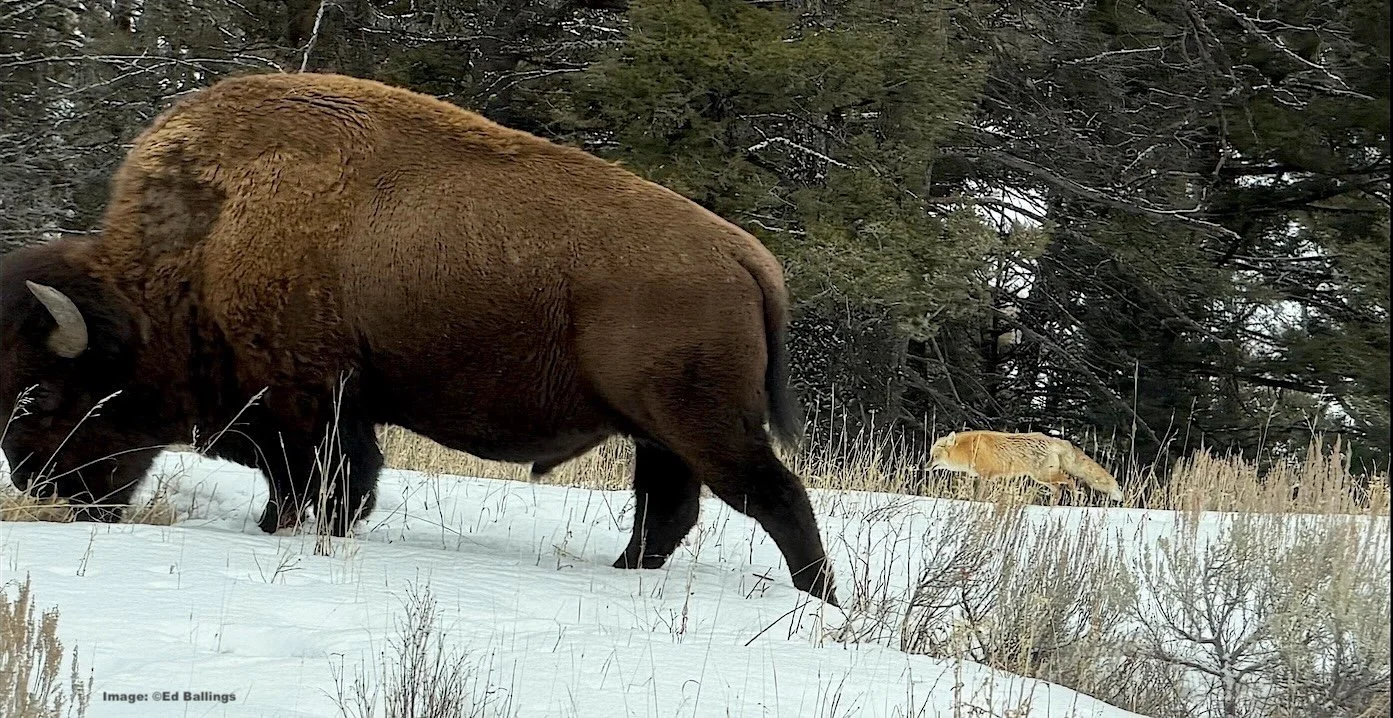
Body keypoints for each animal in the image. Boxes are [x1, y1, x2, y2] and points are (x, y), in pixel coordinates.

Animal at [0, 72, 840, 606]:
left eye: (44, 394)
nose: (38, 484)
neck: (201, 245)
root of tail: (743, 253)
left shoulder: (311, 408)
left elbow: (327, 487)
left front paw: (289, 533)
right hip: (657, 434)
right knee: (669, 511)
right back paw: (626, 572)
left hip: (702, 425)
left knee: (773, 497)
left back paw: (822, 603)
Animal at [928, 430, 1124, 502]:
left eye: (934, 456)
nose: (925, 466)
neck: (969, 449)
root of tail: (1055, 439)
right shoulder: (987, 477)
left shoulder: (985, 476)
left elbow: (979, 495)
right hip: (1043, 479)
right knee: (1059, 490)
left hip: (1044, 475)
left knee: (1071, 482)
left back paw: (1076, 497)